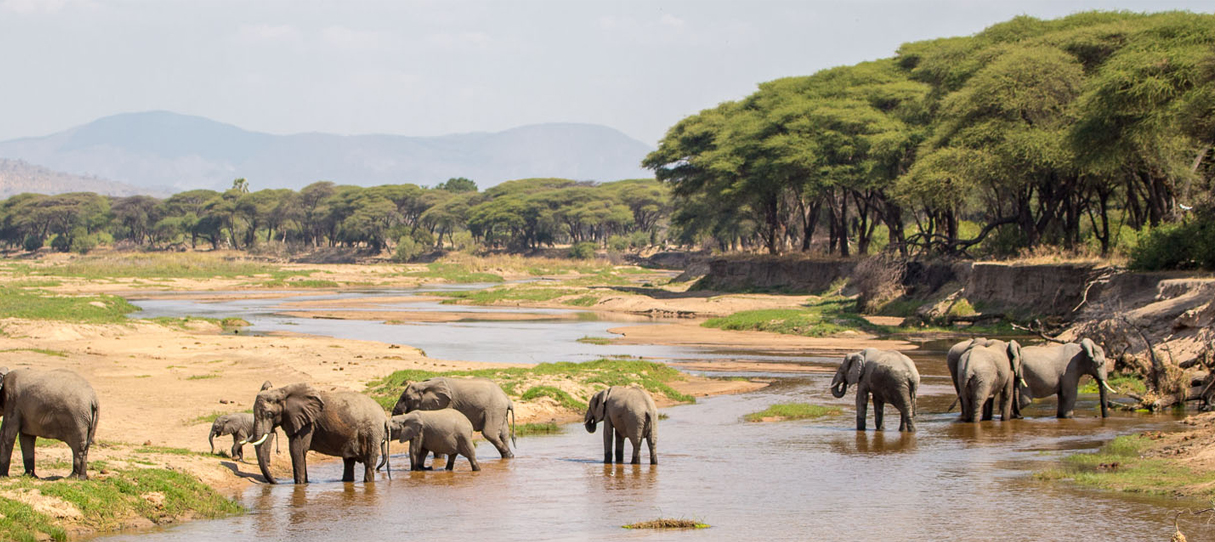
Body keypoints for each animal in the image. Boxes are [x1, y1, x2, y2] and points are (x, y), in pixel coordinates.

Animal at [250, 381, 391, 483]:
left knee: (369, 463)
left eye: (269, 414)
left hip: (372, 432)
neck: (282, 391)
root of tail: (385, 417)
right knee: (349, 462)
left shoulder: (307, 424)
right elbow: (300, 451)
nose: (276, 482)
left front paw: (300, 485)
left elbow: (297, 449)